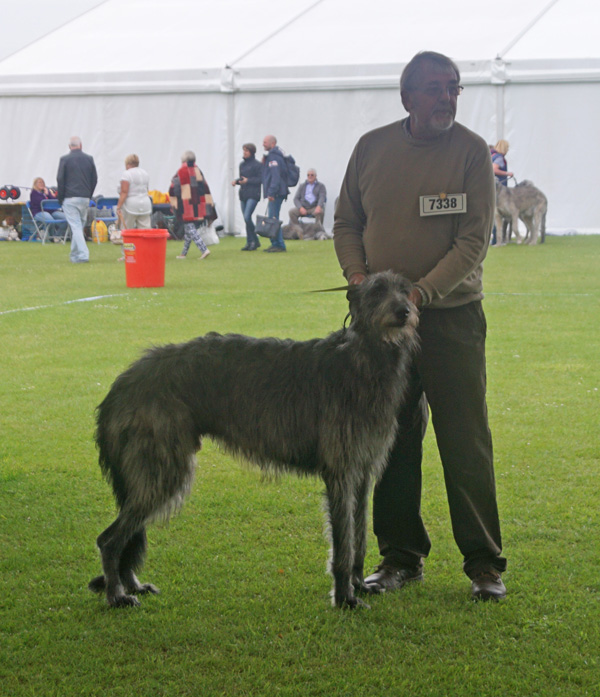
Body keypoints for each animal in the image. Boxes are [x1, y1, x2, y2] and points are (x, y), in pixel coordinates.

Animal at [89, 272, 420, 608]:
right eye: (377, 291)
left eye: (405, 290)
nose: (403, 312)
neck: (363, 360)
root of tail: (120, 384)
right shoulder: (340, 471)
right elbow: (343, 544)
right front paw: (344, 598)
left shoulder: (363, 470)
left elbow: (359, 538)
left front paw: (358, 584)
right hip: (161, 465)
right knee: (109, 539)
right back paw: (117, 595)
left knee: (129, 534)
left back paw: (132, 585)